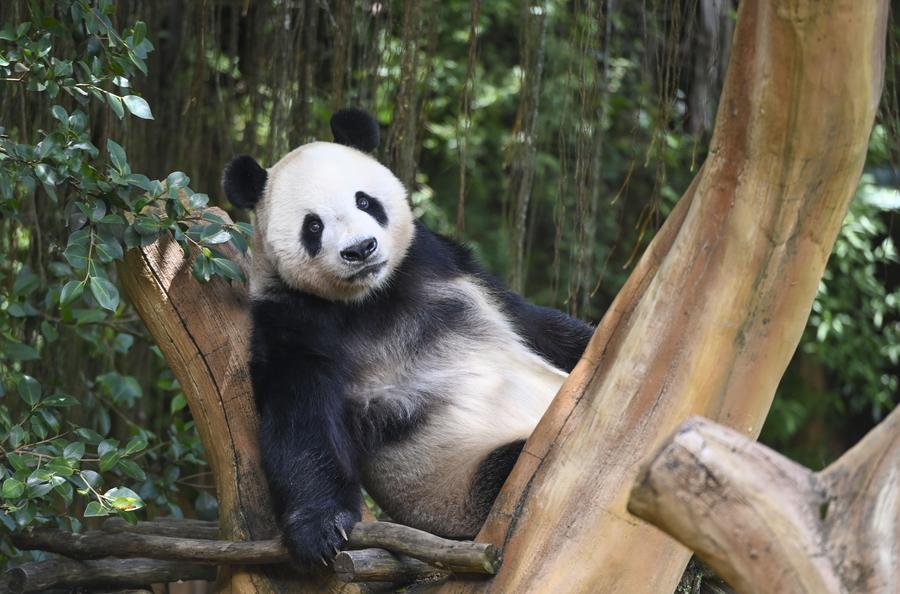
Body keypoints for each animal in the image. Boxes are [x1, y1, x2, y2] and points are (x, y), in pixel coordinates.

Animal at [222, 108, 593, 568]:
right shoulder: (293, 320)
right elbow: (300, 419)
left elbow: (536, 324)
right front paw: (319, 531)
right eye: (313, 226)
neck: (372, 297)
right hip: (468, 486)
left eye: (365, 201)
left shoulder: (442, 264)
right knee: (514, 466)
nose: (360, 249)